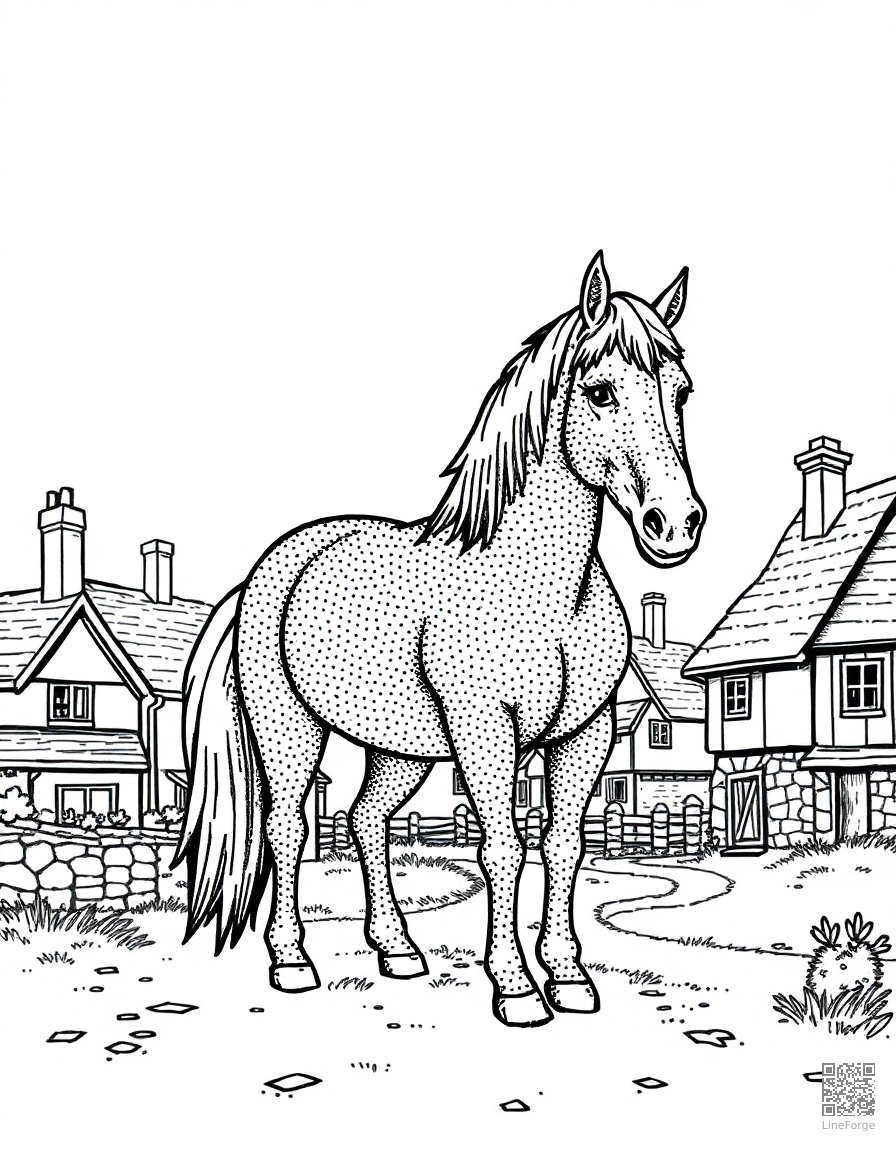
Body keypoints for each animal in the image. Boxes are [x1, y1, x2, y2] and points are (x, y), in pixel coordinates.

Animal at [176, 249, 705, 1028]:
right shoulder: (486, 731)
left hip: (401, 748)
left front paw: (569, 978)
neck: (539, 586)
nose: (676, 525)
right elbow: (504, 850)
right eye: (601, 391)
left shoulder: (586, 737)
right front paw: (516, 989)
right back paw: (293, 962)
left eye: (682, 393)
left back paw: (397, 952)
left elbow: (563, 846)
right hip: (290, 733)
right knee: (289, 829)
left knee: (365, 821)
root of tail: (262, 573)